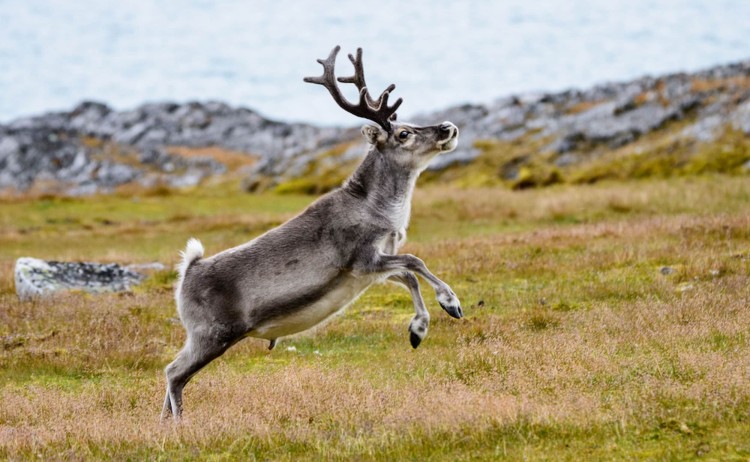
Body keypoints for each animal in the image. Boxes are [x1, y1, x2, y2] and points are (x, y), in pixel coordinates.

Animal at [162, 45, 463, 421]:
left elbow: (408, 274)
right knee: (174, 373)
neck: (381, 211)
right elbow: (415, 261)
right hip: (212, 334)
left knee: (175, 374)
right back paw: (179, 424)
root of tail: (188, 270)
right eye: (403, 134)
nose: (448, 127)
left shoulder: (370, 268)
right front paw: (450, 304)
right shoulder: (363, 258)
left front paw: (418, 329)